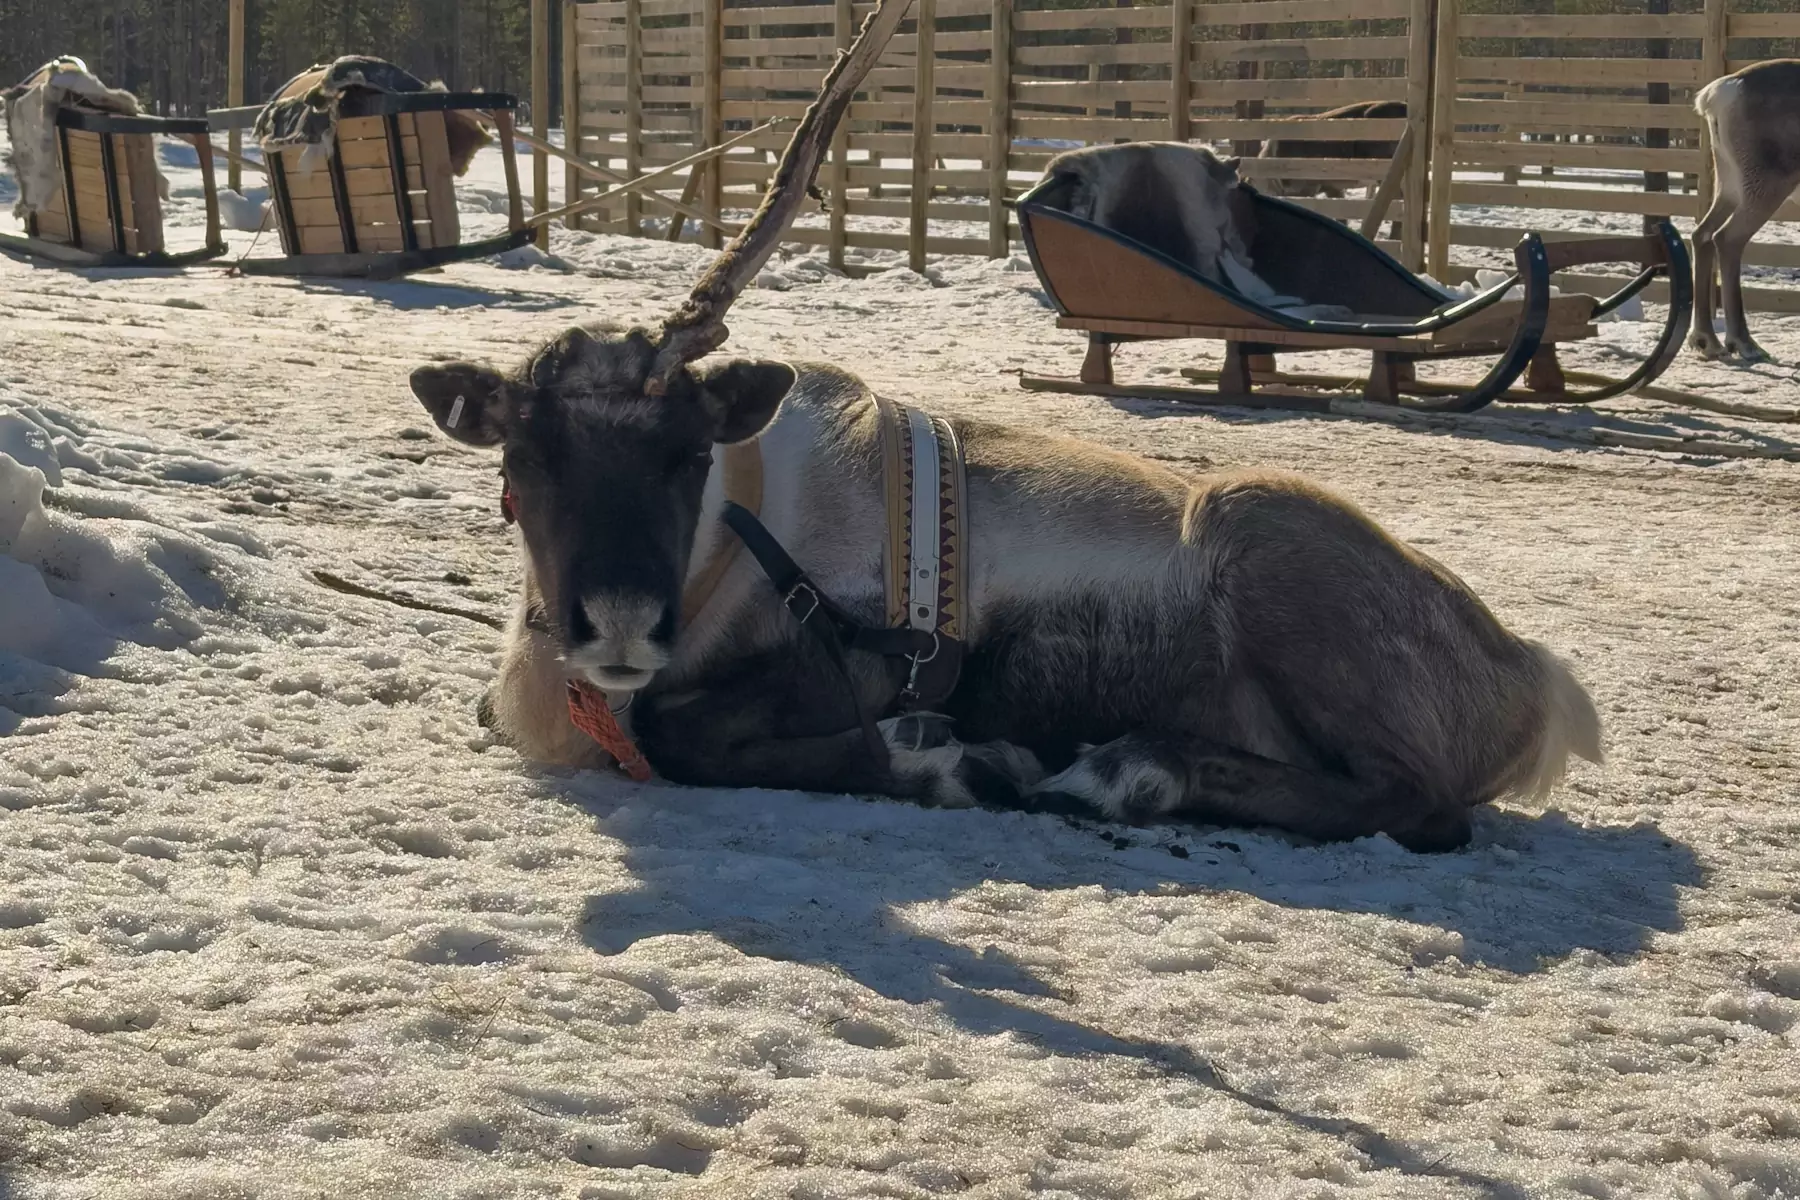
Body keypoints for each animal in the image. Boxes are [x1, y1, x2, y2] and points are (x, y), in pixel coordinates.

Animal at [406, 0, 1602, 853]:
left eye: (686, 453)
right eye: (522, 458)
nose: (615, 624)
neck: (721, 544)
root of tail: (1534, 682)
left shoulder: (845, 666)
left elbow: (695, 735)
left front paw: (956, 759)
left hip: (1262, 526)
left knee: (1418, 805)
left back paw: (1120, 771)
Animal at [1690, 59, 1800, 363]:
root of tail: (1716, 94)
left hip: (1728, 183)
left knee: (1702, 234)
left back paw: (1707, 340)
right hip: (1766, 183)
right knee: (1727, 238)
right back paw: (1744, 342)